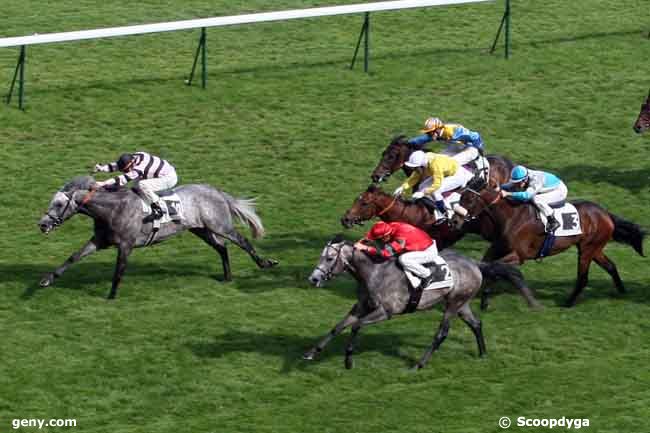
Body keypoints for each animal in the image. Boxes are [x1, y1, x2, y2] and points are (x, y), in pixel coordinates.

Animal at [36, 176, 278, 296]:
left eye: (59, 204)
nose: (43, 224)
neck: (112, 209)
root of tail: (216, 191)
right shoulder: (100, 241)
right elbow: (74, 257)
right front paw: (47, 280)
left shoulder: (126, 244)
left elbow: (119, 270)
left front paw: (112, 295)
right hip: (200, 229)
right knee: (222, 248)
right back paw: (227, 276)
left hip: (220, 225)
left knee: (242, 241)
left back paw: (266, 263)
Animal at [304, 235, 520, 370]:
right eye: (322, 256)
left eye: (329, 258)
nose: (313, 279)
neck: (374, 273)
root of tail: (475, 264)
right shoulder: (361, 306)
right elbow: (338, 327)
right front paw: (311, 352)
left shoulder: (385, 312)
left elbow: (356, 326)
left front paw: (348, 360)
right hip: (461, 303)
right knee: (476, 324)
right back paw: (483, 353)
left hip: (452, 305)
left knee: (441, 333)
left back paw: (419, 364)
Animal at [450, 179, 644, 308]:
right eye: (460, 197)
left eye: (469, 200)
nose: (455, 221)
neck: (512, 216)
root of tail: (605, 214)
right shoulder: (497, 248)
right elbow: (490, 266)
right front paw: (484, 301)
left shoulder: (519, 255)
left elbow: (497, 267)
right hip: (593, 248)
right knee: (610, 266)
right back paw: (622, 292)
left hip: (587, 249)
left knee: (583, 278)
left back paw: (568, 303)